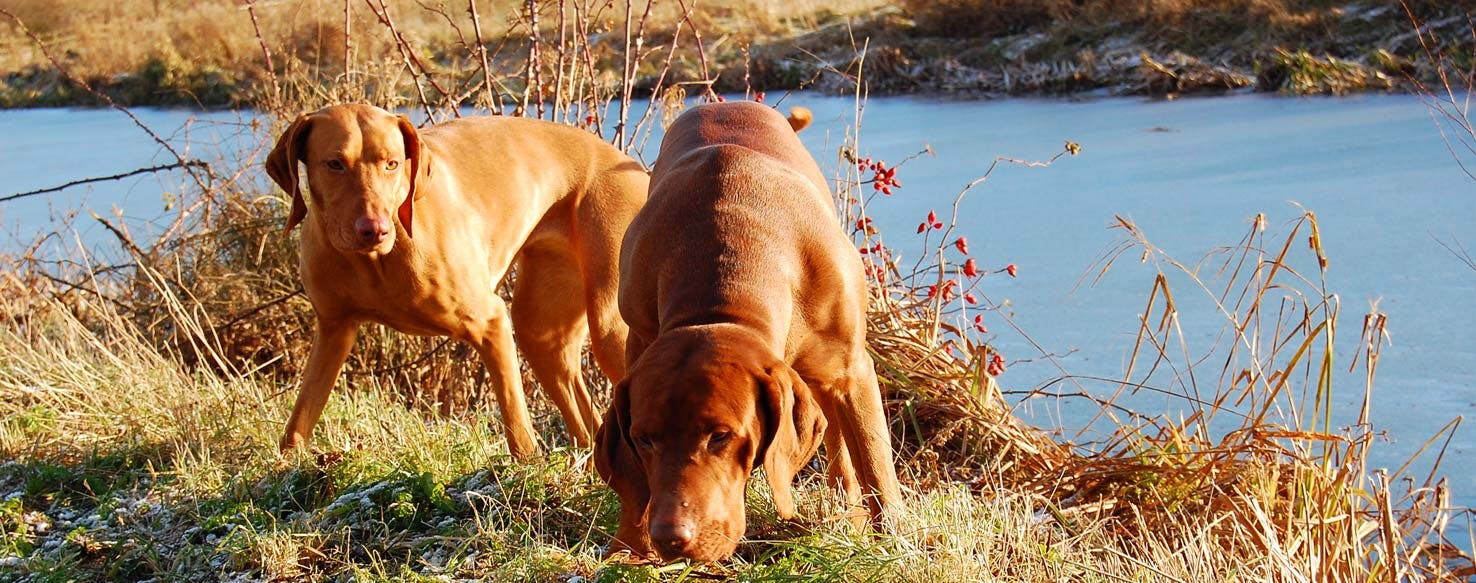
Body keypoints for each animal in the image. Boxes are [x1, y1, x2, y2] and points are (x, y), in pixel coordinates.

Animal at [265, 106, 646, 460]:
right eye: (334, 164)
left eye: (391, 163)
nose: (375, 229)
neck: (376, 262)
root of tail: (629, 164)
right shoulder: (334, 329)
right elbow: (300, 418)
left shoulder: (491, 321)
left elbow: (518, 427)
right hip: (541, 331)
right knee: (586, 425)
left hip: (611, 329)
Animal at [596, 102, 897, 563]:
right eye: (643, 439)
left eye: (721, 436)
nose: (671, 538)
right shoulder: (639, 342)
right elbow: (635, 485)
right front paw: (630, 544)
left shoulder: (854, 371)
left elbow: (878, 465)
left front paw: (901, 542)